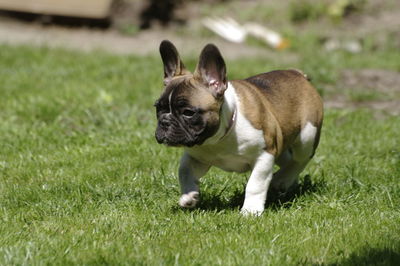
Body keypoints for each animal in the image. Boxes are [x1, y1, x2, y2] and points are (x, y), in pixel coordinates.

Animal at [155, 40, 324, 215]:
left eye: (188, 112)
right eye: (158, 108)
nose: (164, 121)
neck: (218, 138)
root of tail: (296, 73)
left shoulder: (264, 155)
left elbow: (255, 184)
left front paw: (250, 210)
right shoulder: (195, 157)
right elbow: (184, 171)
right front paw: (188, 196)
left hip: (307, 136)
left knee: (300, 159)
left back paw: (282, 179)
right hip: (281, 141)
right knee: (289, 160)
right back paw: (286, 182)